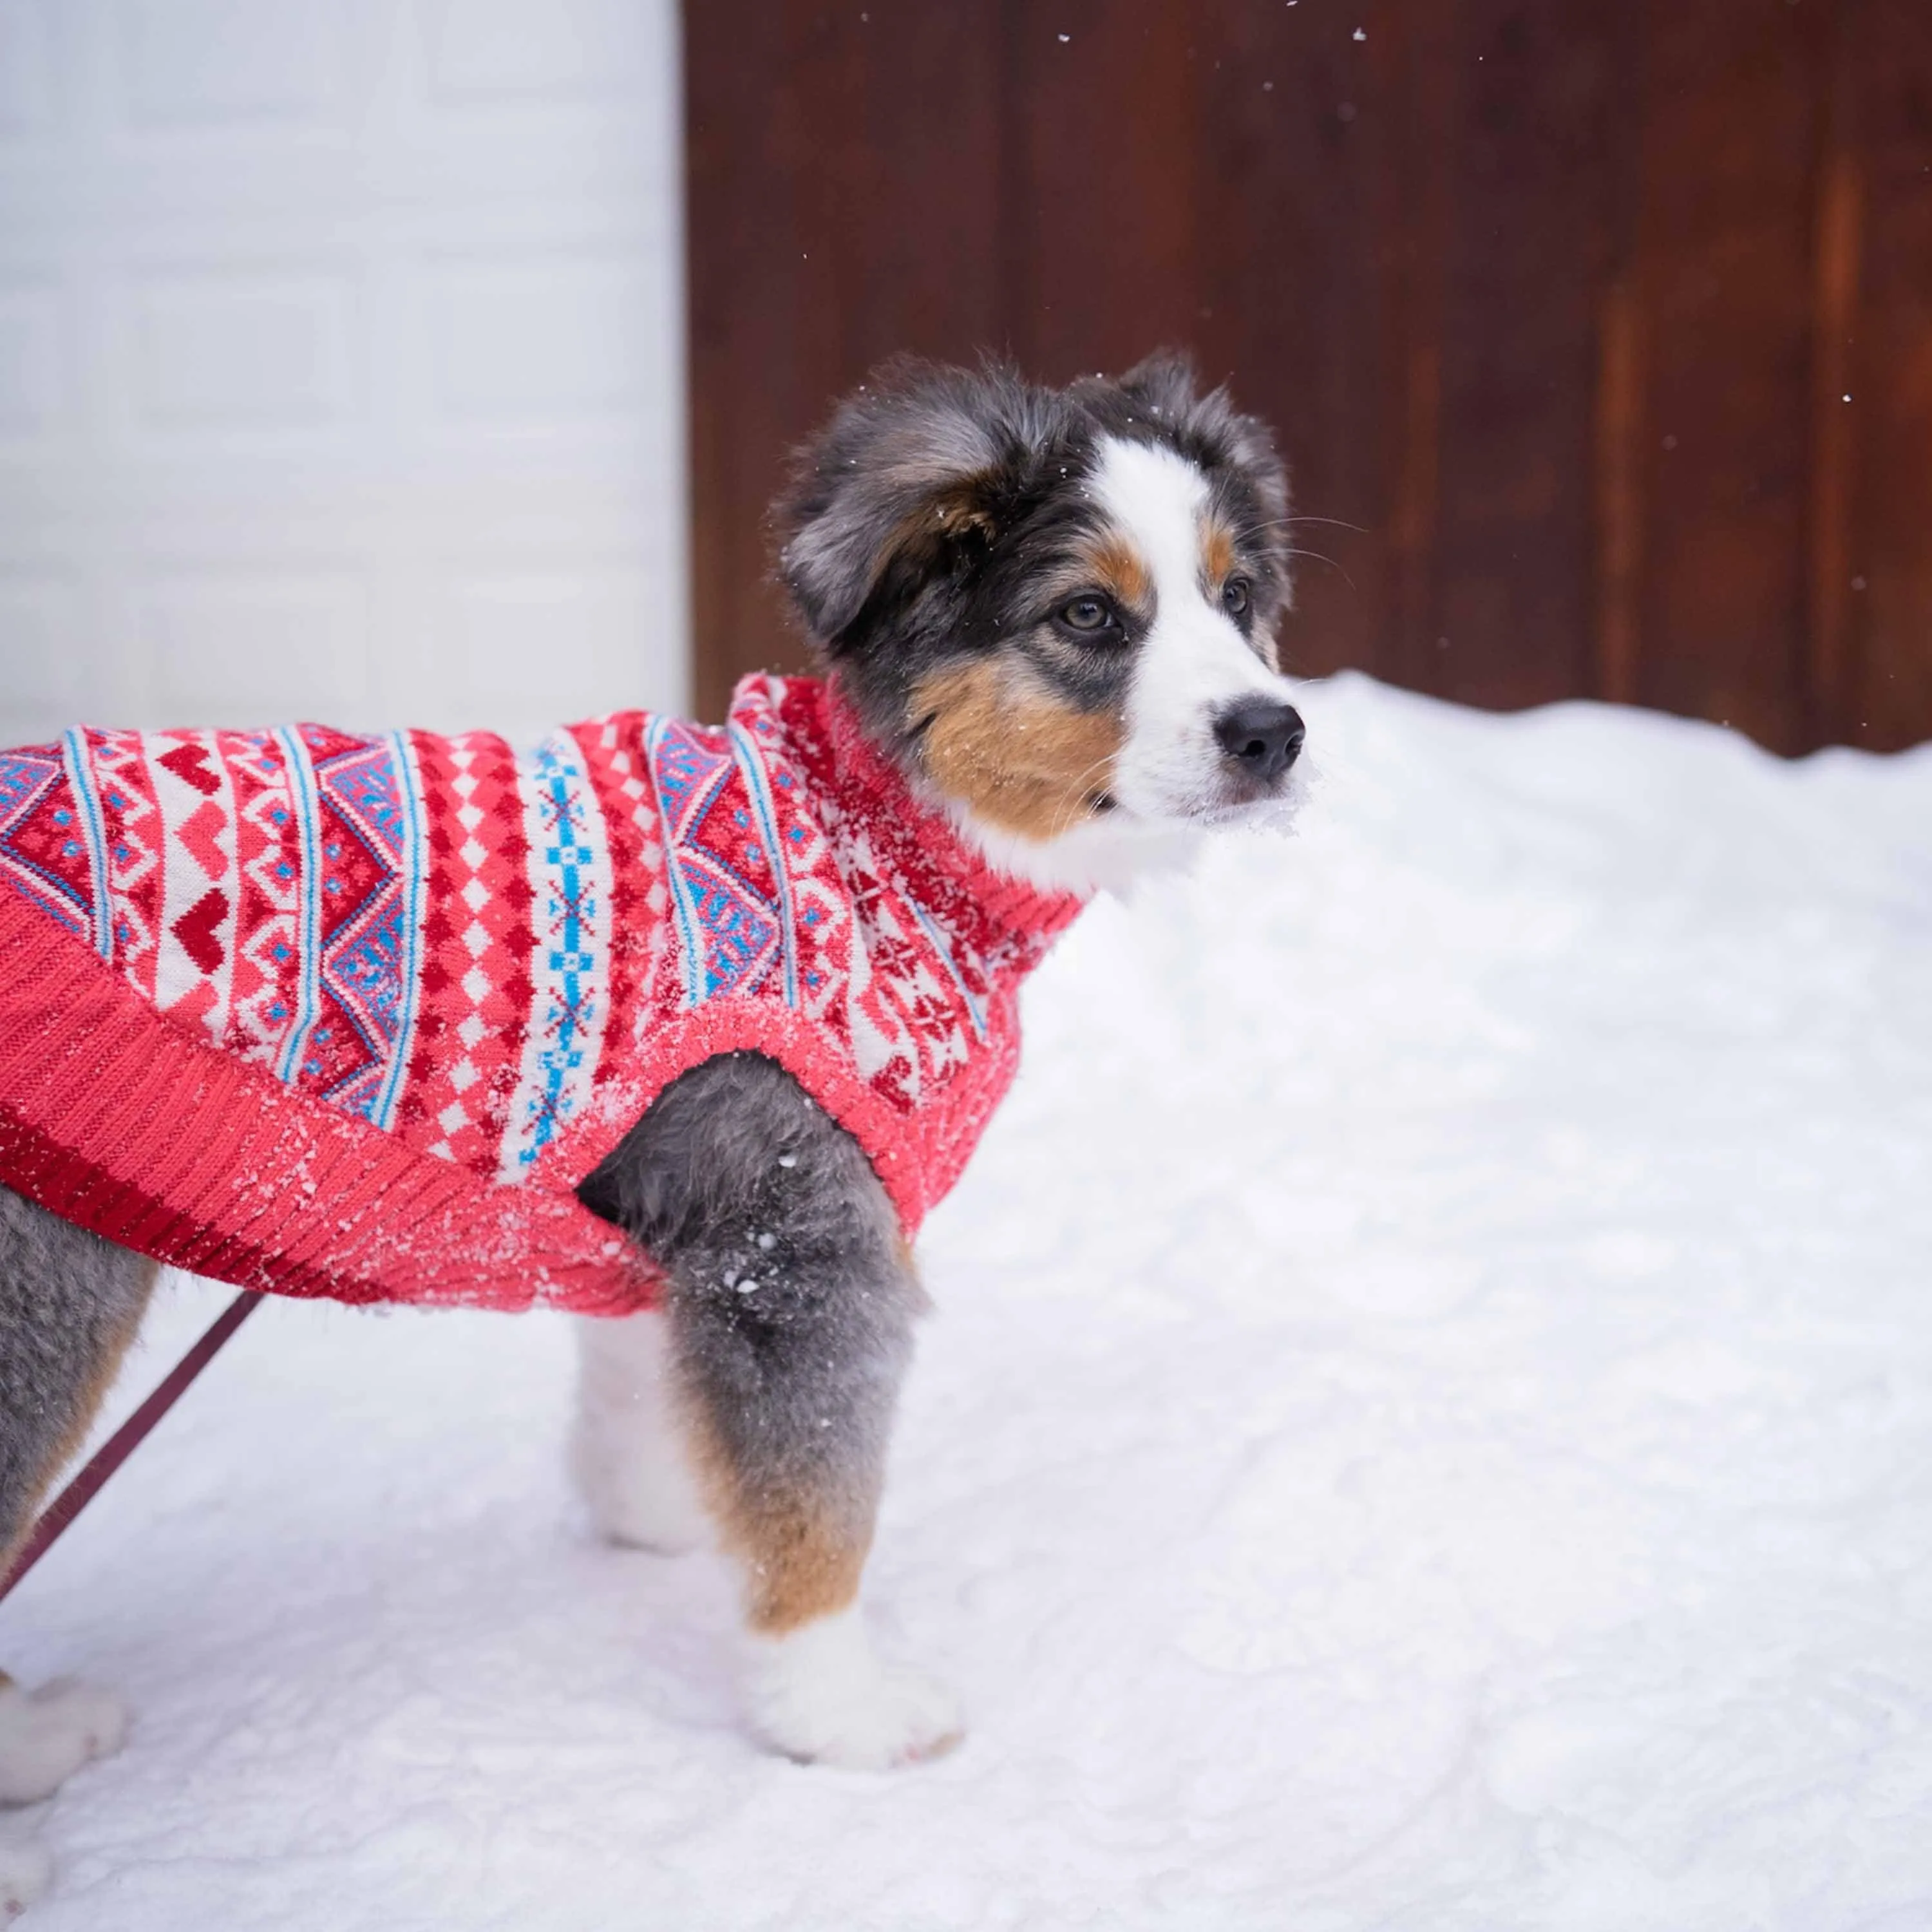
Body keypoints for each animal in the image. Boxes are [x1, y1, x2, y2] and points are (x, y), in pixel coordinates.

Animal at [0, 355, 1306, 1909]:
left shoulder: (672, 1199)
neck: (874, 833)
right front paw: (834, 1709)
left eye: (1238, 596)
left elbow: (635, 1382)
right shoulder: (798, 1235)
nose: (1277, 732)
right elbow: (822, 1492)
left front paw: (664, 1516)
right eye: (1091, 617)